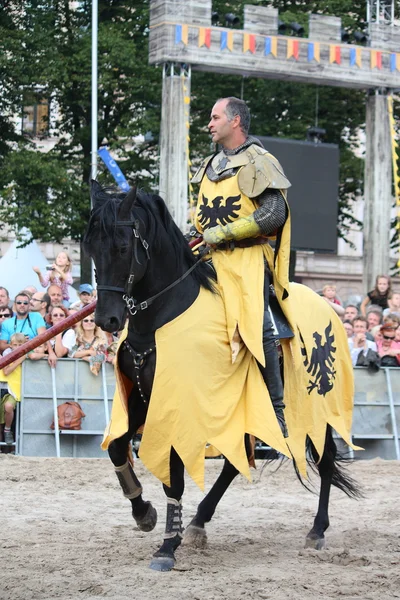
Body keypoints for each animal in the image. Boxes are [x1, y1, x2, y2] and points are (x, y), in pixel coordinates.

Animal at [83, 182, 360, 572]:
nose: (106, 320)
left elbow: (174, 477)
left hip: (317, 408)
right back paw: (199, 522)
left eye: (123, 247)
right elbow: (118, 448)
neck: (160, 318)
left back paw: (317, 530)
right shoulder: (141, 397)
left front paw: (167, 547)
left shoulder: (179, 406)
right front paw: (144, 512)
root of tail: (329, 306)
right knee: (234, 462)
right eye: (90, 248)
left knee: (325, 457)